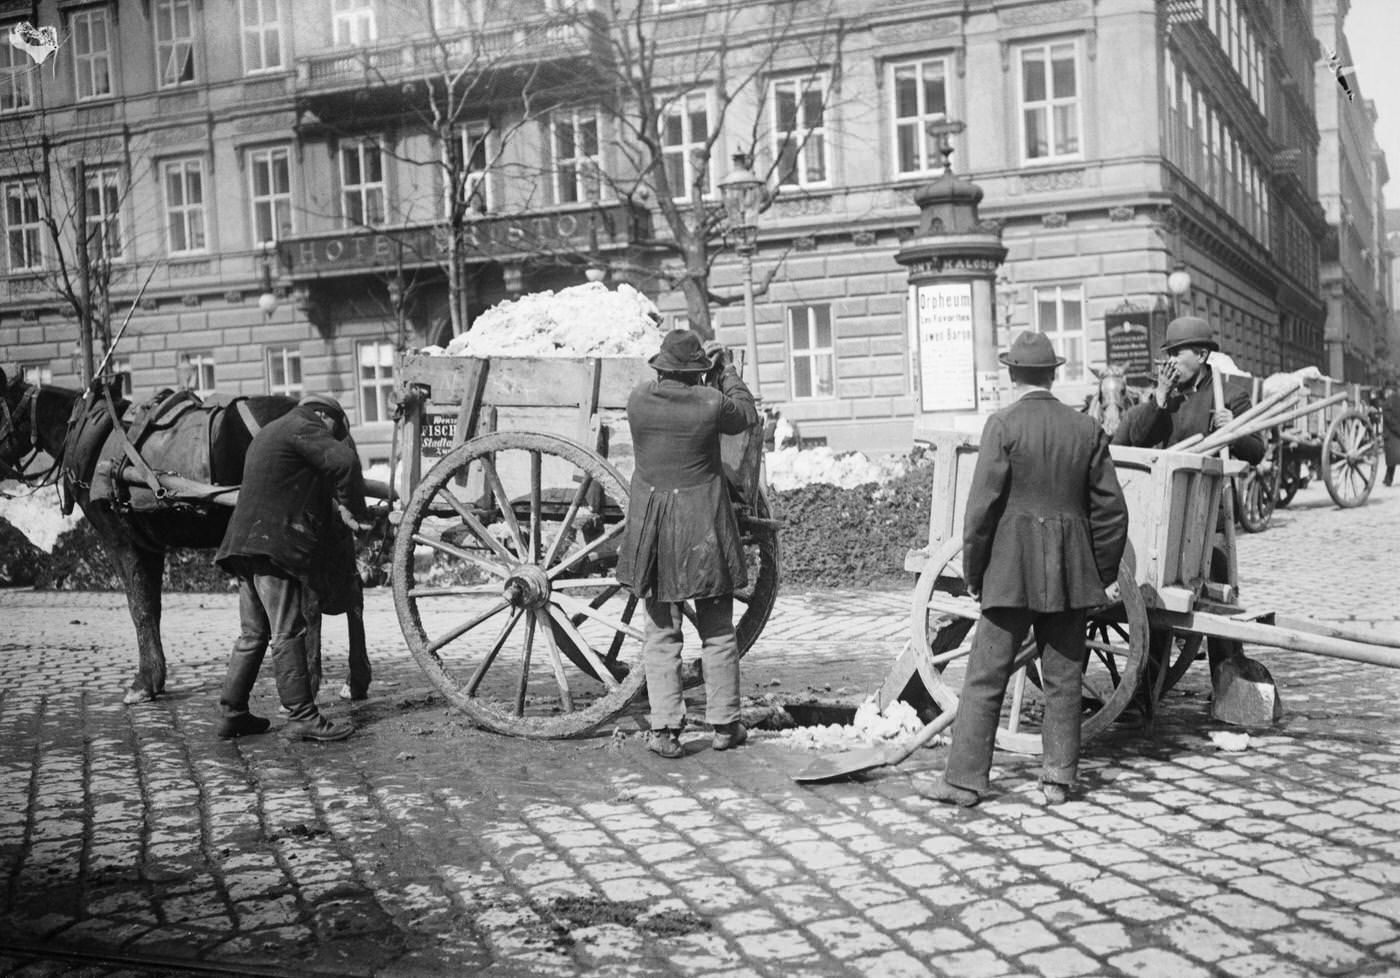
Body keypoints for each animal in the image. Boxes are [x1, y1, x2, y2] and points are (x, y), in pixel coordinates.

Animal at [0, 372, 375, 707]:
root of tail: (333, 425)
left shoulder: (120, 541)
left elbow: (140, 608)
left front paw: (143, 682)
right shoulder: (148, 545)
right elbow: (152, 607)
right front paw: (154, 677)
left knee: (313, 605)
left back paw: (310, 682)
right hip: (336, 529)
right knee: (353, 594)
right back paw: (356, 680)